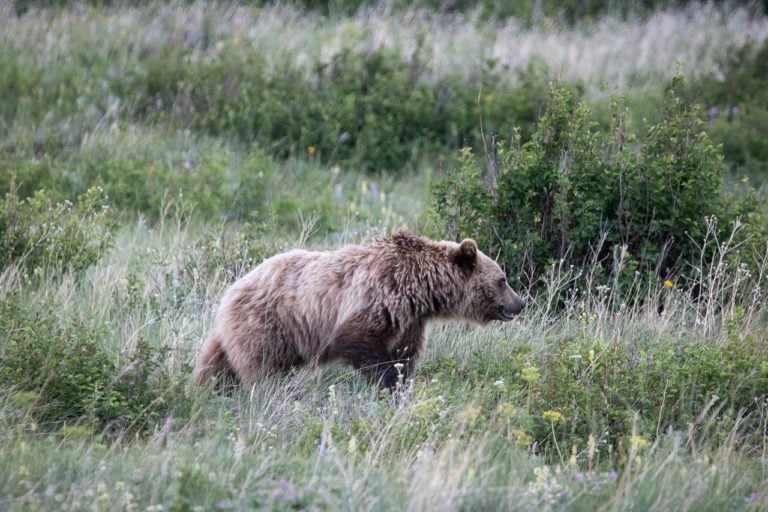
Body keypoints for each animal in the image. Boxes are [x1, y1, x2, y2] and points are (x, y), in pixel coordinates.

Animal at [195, 232, 524, 388]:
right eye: (503, 279)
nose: (520, 303)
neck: (420, 289)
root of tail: (231, 291)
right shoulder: (379, 298)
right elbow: (357, 341)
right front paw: (390, 384)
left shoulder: (411, 319)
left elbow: (406, 355)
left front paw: (403, 383)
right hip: (268, 325)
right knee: (263, 368)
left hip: (238, 333)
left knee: (216, 365)